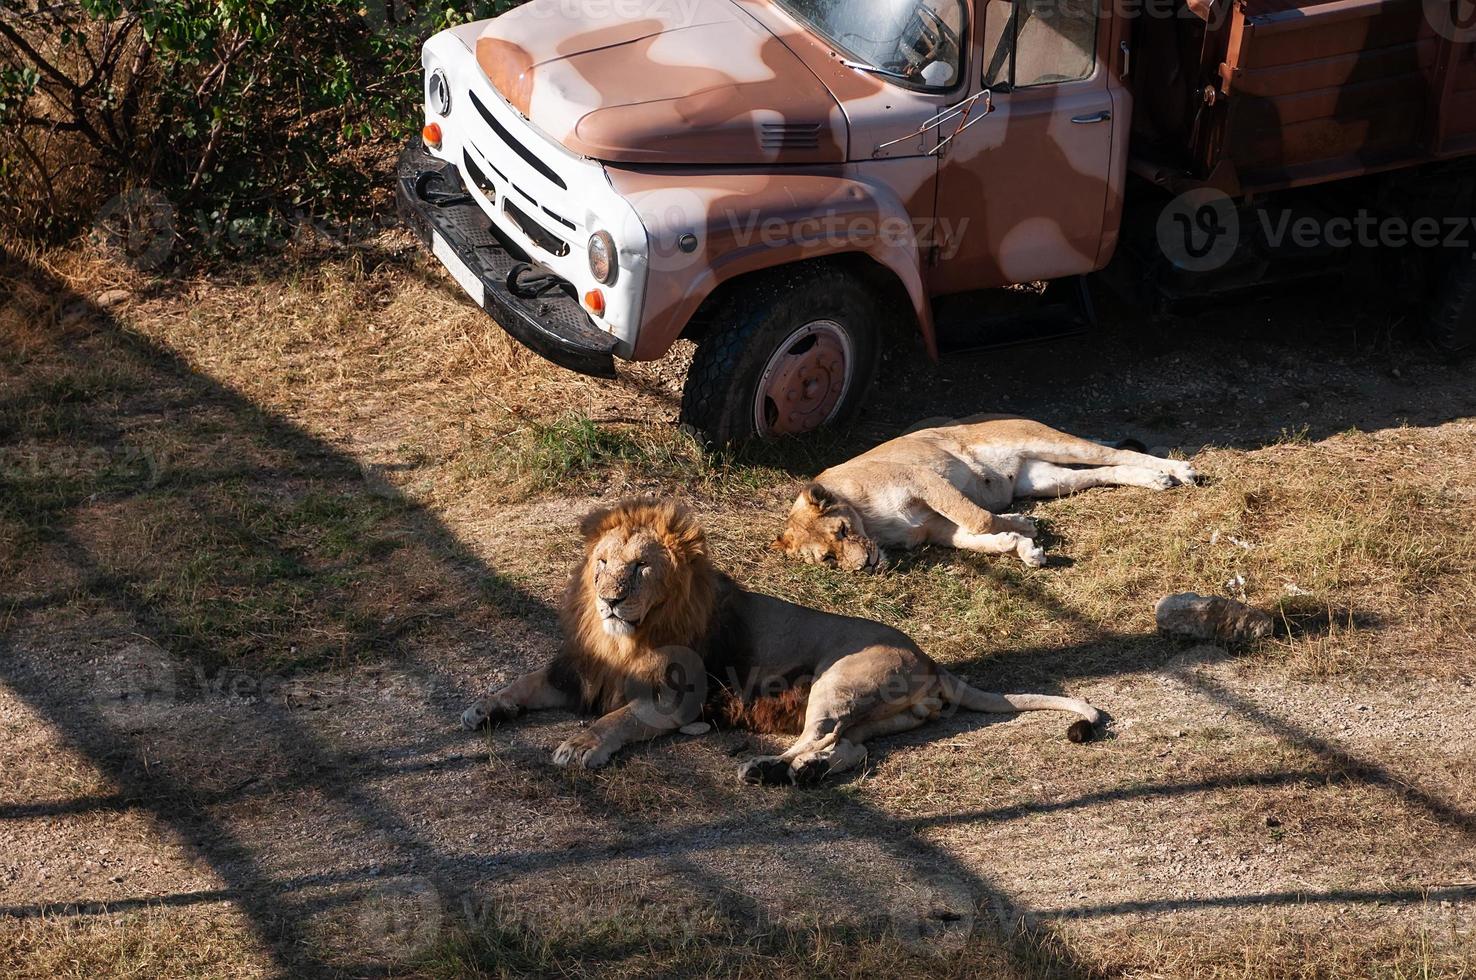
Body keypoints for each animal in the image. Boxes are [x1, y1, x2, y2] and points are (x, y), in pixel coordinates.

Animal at [460, 501, 1098, 785]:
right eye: (601, 564)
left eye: (640, 568)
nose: (610, 599)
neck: (622, 638)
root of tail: (930, 660)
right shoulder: (577, 669)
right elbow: (524, 681)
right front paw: (484, 707)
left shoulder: (675, 699)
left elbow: (614, 720)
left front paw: (580, 744)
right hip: (875, 716)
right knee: (849, 750)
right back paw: (797, 775)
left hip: (837, 684)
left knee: (820, 740)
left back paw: (765, 769)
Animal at [773, 416, 1198, 569]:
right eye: (828, 559)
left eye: (843, 531)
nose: (863, 566)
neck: (872, 526)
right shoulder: (932, 528)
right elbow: (977, 537)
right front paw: (1021, 545)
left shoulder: (924, 480)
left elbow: (977, 518)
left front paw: (1024, 527)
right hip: (1045, 479)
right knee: (1107, 471)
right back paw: (1157, 480)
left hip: (1047, 439)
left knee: (1118, 452)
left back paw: (1178, 471)